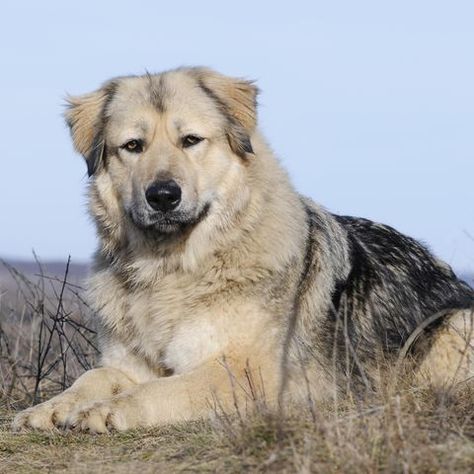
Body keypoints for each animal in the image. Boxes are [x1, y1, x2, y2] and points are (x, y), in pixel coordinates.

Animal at [12, 66, 474, 434]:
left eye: (191, 140)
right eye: (133, 146)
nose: (163, 196)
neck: (170, 271)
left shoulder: (247, 373)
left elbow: (163, 389)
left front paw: (107, 410)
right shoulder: (128, 363)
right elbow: (95, 375)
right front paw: (50, 408)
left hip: (454, 325)